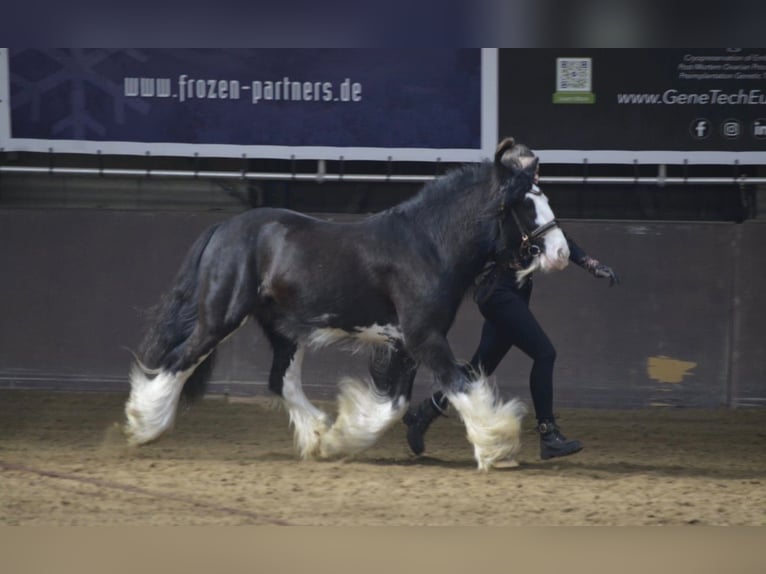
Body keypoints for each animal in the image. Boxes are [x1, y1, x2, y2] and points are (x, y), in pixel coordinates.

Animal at [123, 137, 571, 471]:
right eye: (526, 203)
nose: (562, 253)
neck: (427, 246)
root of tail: (223, 228)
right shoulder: (424, 337)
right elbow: (458, 382)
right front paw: (497, 446)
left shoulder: (404, 343)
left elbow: (395, 404)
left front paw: (341, 438)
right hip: (221, 318)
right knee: (178, 360)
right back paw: (143, 425)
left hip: (284, 328)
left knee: (280, 380)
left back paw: (317, 435)